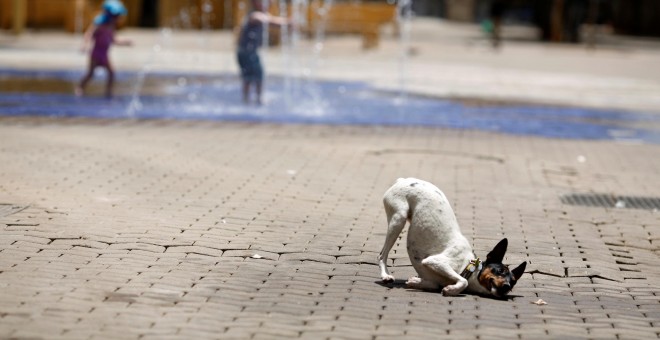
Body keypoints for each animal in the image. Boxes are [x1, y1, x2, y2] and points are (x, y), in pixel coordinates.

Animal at [376, 178, 524, 298]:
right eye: (500, 271)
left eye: (513, 282)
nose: (506, 286)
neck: (467, 265)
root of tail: (403, 180)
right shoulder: (435, 261)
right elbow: (463, 281)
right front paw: (451, 290)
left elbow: (434, 284)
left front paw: (417, 282)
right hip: (398, 219)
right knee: (382, 255)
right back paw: (385, 275)